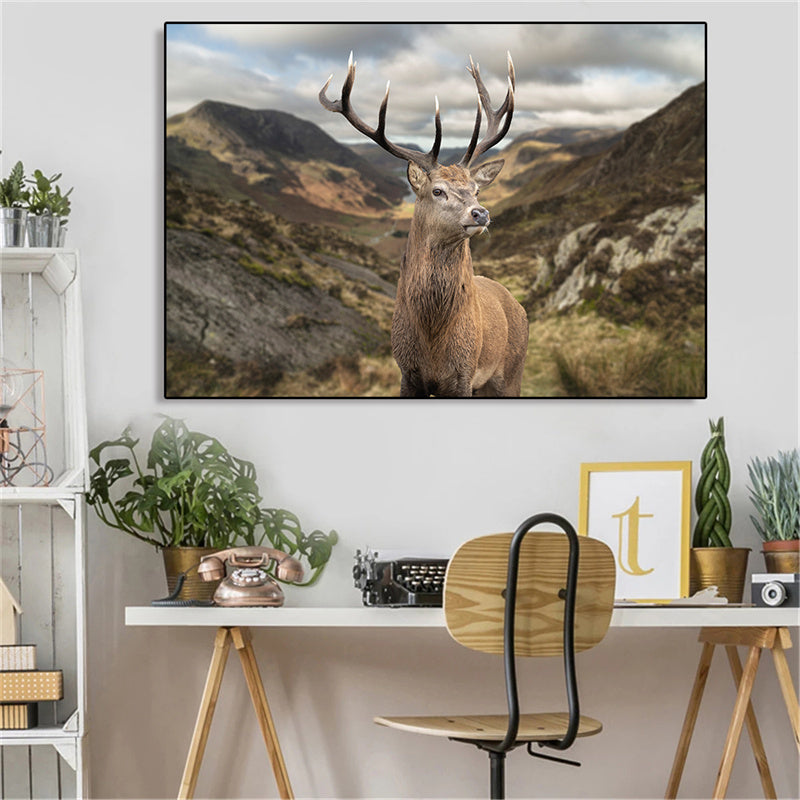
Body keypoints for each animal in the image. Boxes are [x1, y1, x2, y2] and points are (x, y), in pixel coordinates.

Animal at [320, 52, 529, 397]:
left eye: (476, 190)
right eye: (437, 190)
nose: (480, 214)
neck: (432, 340)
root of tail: (518, 306)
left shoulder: (463, 375)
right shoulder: (407, 372)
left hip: (511, 373)